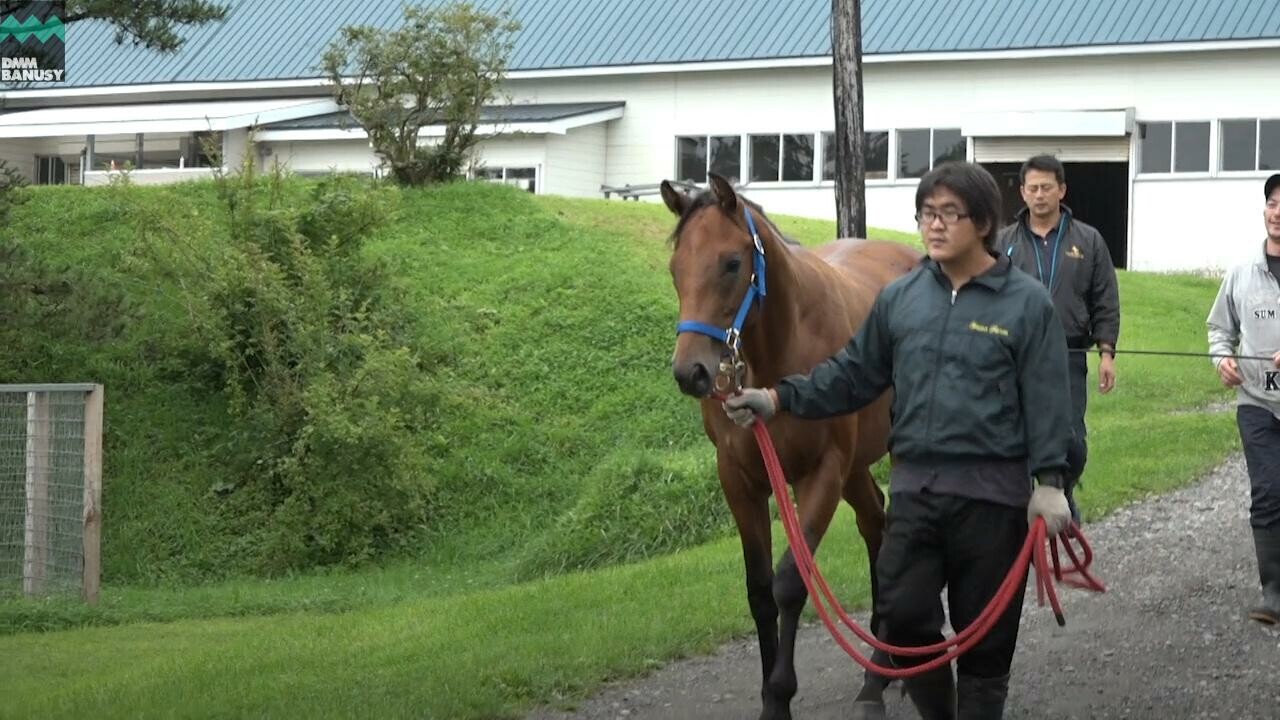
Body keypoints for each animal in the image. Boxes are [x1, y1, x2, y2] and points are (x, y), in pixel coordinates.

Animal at [660, 174, 921, 717]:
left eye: (731, 263)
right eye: (676, 269)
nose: (691, 372)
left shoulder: (820, 475)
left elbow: (790, 584)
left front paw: (780, 693)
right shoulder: (740, 482)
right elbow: (760, 589)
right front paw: (766, 693)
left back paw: (883, 673)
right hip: (856, 469)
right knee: (875, 523)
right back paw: (882, 664)